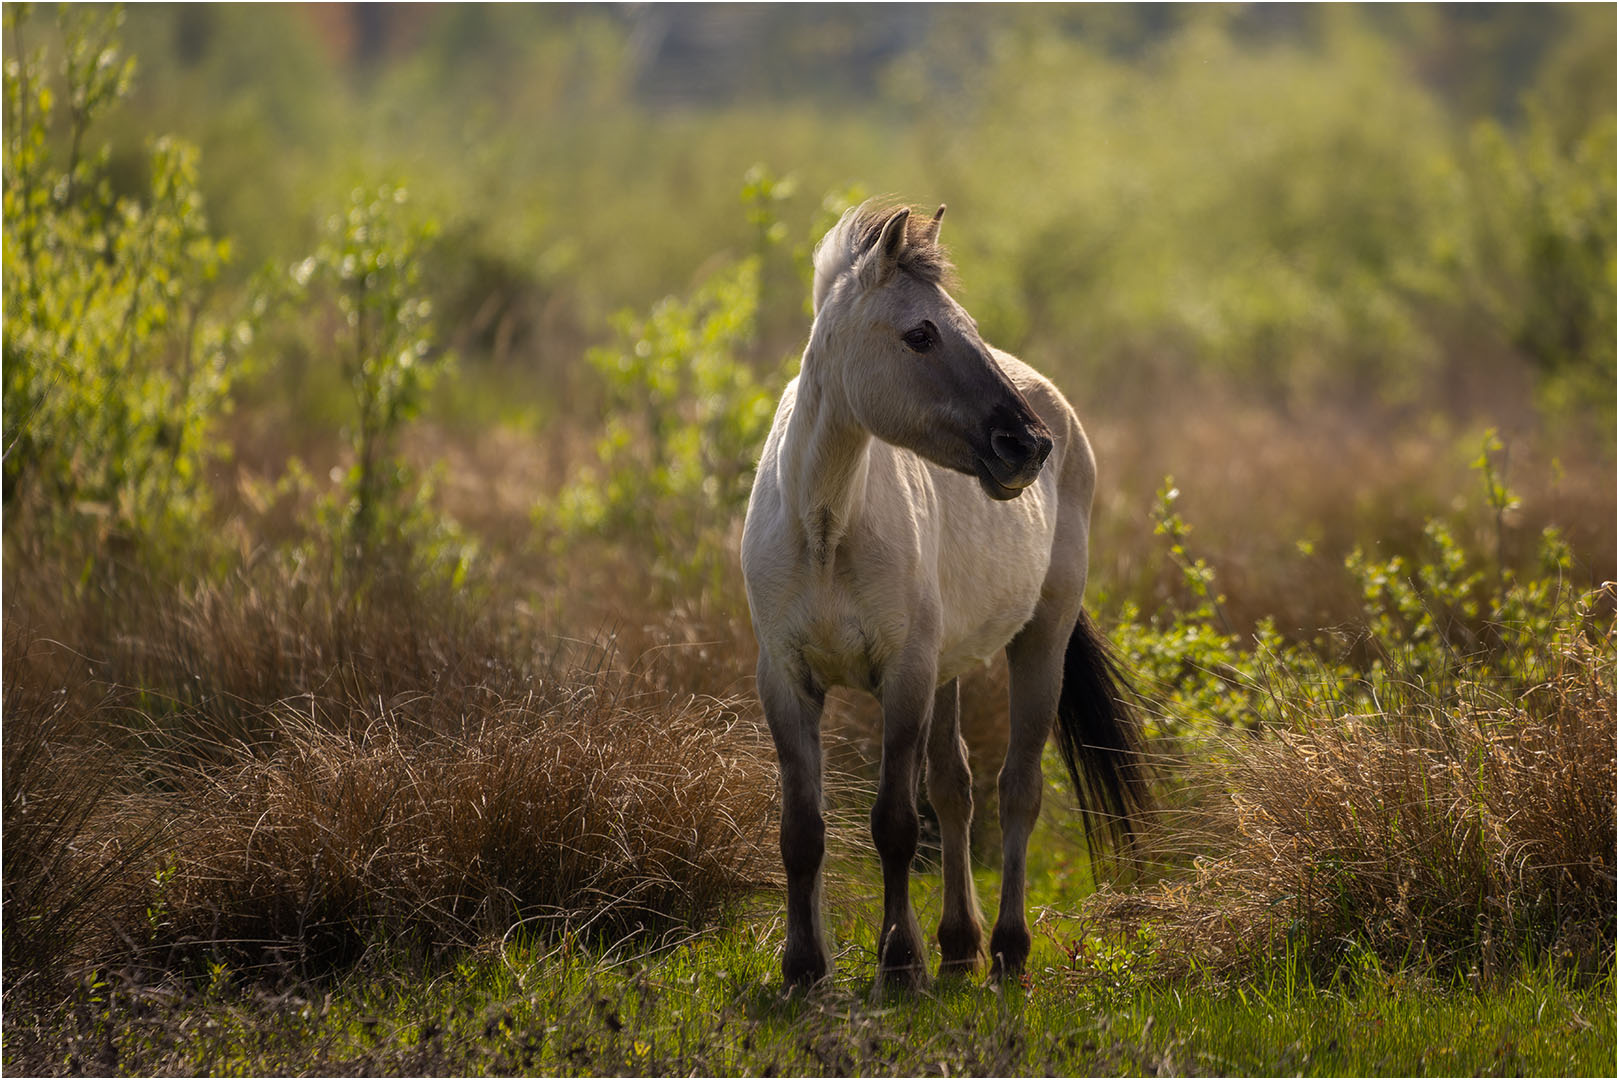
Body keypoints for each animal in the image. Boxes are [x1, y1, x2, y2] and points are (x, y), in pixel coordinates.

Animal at [741, 198, 1146, 990]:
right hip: (949, 669)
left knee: (1016, 791)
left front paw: (899, 962)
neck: (825, 528)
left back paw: (1007, 951)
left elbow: (895, 824)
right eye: (920, 334)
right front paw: (803, 966)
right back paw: (960, 943)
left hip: (1039, 644)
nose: (1026, 445)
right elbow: (802, 831)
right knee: (956, 790)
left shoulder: (904, 677)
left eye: (967, 328)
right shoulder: (788, 682)